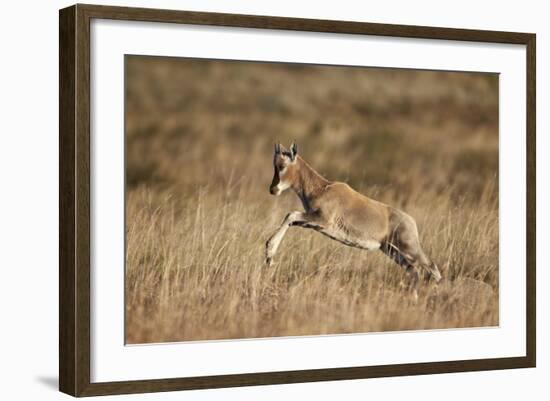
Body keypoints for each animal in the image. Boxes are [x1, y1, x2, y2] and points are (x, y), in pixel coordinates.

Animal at [268, 142, 444, 298]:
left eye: (282, 166)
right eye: (275, 165)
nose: (273, 189)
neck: (323, 188)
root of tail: (411, 221)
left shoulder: (322, 220)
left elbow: (291, 214)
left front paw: (269, 254)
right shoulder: (311, 222)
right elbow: (290, 219)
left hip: (410, 249)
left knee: (432, 268)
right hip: (392, 251)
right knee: (414, 271)